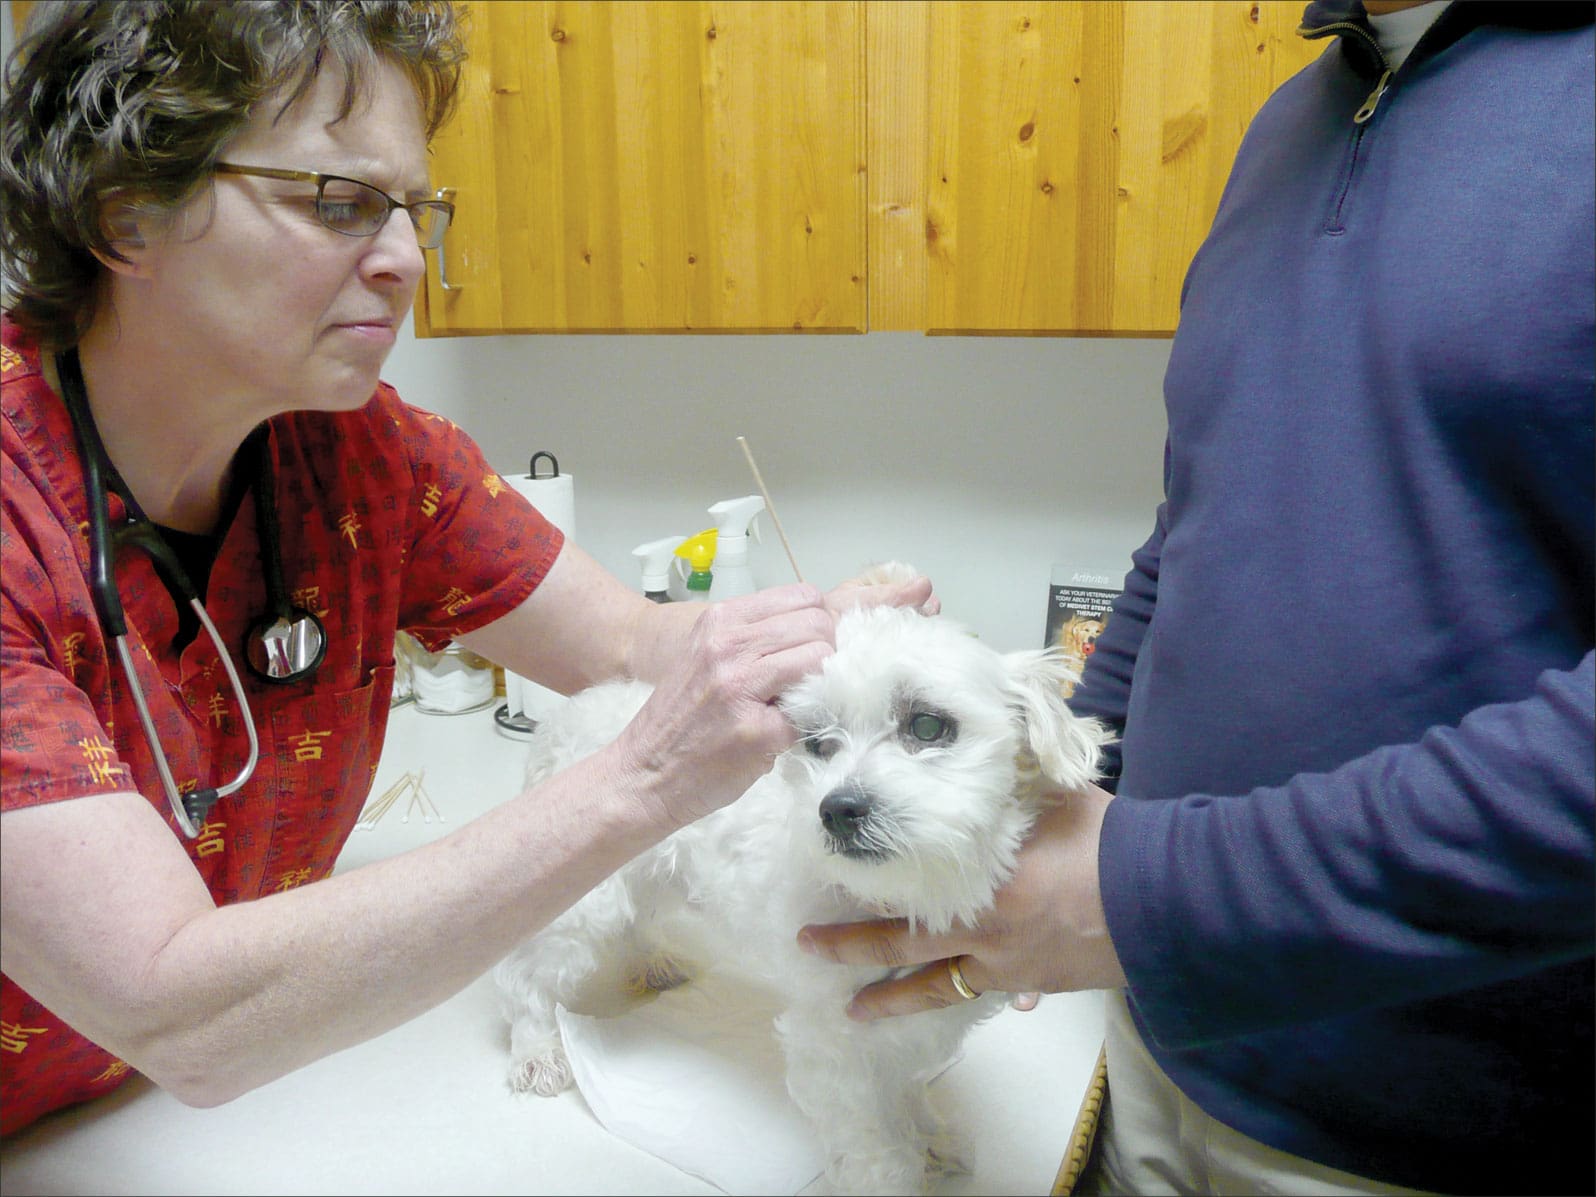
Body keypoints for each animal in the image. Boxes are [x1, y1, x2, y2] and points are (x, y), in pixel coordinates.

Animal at [494, 577, 1110, 1193]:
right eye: (816, 741)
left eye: (928, 726)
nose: (838, 810)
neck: (909, 895)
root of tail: (571, 711)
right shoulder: (832, 1045)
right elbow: (872, 1145)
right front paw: (896, 1172)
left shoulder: (912, 1023)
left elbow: (907, 1088)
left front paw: (928, 1134)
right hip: (583, 897)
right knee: (525, 976)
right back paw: (534, 1048)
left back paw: (652, 961)